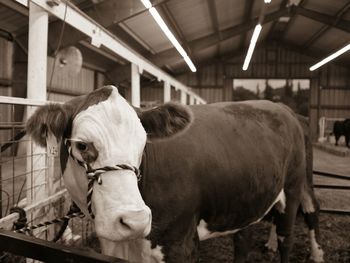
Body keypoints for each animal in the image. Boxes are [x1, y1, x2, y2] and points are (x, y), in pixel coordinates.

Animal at [26, 85, 324, 262]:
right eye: (82, 145)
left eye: (143, 143)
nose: (135, 221)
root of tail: (284, 109)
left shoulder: (181, 243)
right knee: (243, 237)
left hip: (295, 186)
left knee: (296, 226)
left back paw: (314, 252)